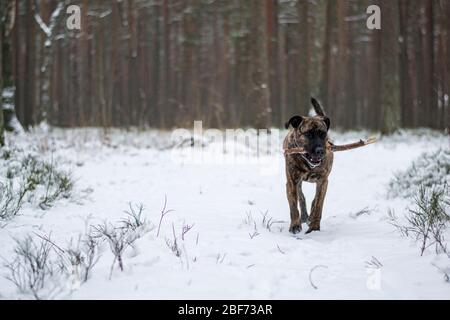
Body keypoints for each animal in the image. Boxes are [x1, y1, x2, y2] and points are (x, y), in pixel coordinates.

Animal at [284, 97, 332, 235]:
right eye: (308, 134)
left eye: (323, 134)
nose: (320, 151)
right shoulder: (292, 182)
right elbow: (294, 206)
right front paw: (295, 226)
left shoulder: (323, 181)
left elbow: (318, 205)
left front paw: (314, 227)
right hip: (298, 182)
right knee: (301, 197)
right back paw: (304, 216)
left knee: (314, 200)